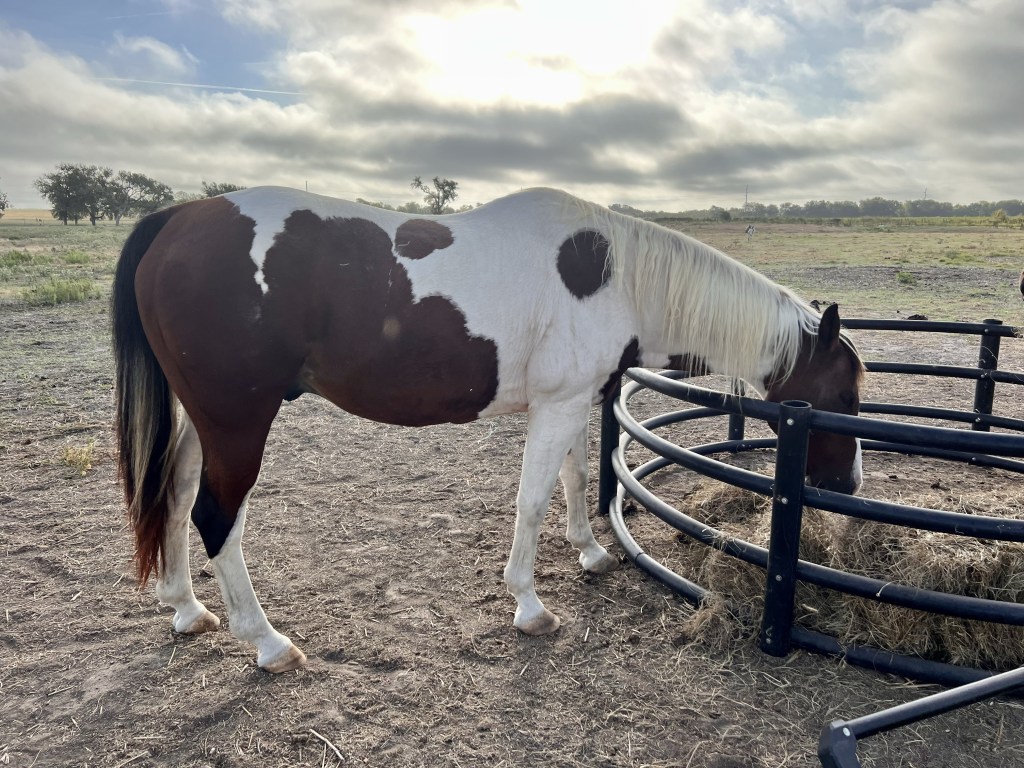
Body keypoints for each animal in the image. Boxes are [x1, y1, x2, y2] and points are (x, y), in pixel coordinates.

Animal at [111, 186, 865, 672]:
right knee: (216, 516)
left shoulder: (571, 403)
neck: (618, 277)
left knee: (174, 495)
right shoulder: (558, 406)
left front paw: (591, 553)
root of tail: (176, 221)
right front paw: (529, 604)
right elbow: (532, 500)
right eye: (846, 391)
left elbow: (575, 478)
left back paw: (186, 609)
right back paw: (267, 642)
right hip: (239, 422)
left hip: (202, 420)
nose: (848, 482)